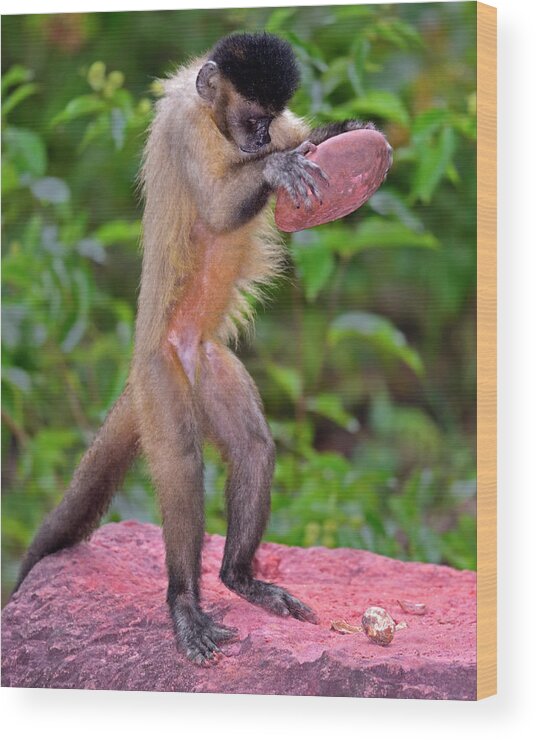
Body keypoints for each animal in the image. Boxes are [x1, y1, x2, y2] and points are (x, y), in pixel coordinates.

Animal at [15, 31, 386, 660]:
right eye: (253, 120)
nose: (261, 142)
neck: (216, 123)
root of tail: (162, 354)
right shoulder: (185, 125)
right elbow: (214, 205)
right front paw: (278, 166)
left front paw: (341, 131)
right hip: (159, 374)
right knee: (183, 466)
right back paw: (184, 601)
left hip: (206, 361)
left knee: (254, 447)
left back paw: (238, 578)